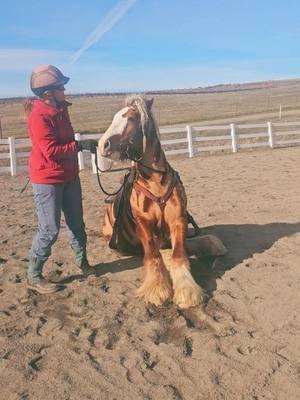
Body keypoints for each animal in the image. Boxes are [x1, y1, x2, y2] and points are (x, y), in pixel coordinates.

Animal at [97, 95, 226, 308]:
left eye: (131, 118)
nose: (102, 145)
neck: (155, 183)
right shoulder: (144, 224)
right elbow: (153, 255)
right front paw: (157, 290)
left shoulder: (178, 221)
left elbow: (180, 254)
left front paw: (186, 291)